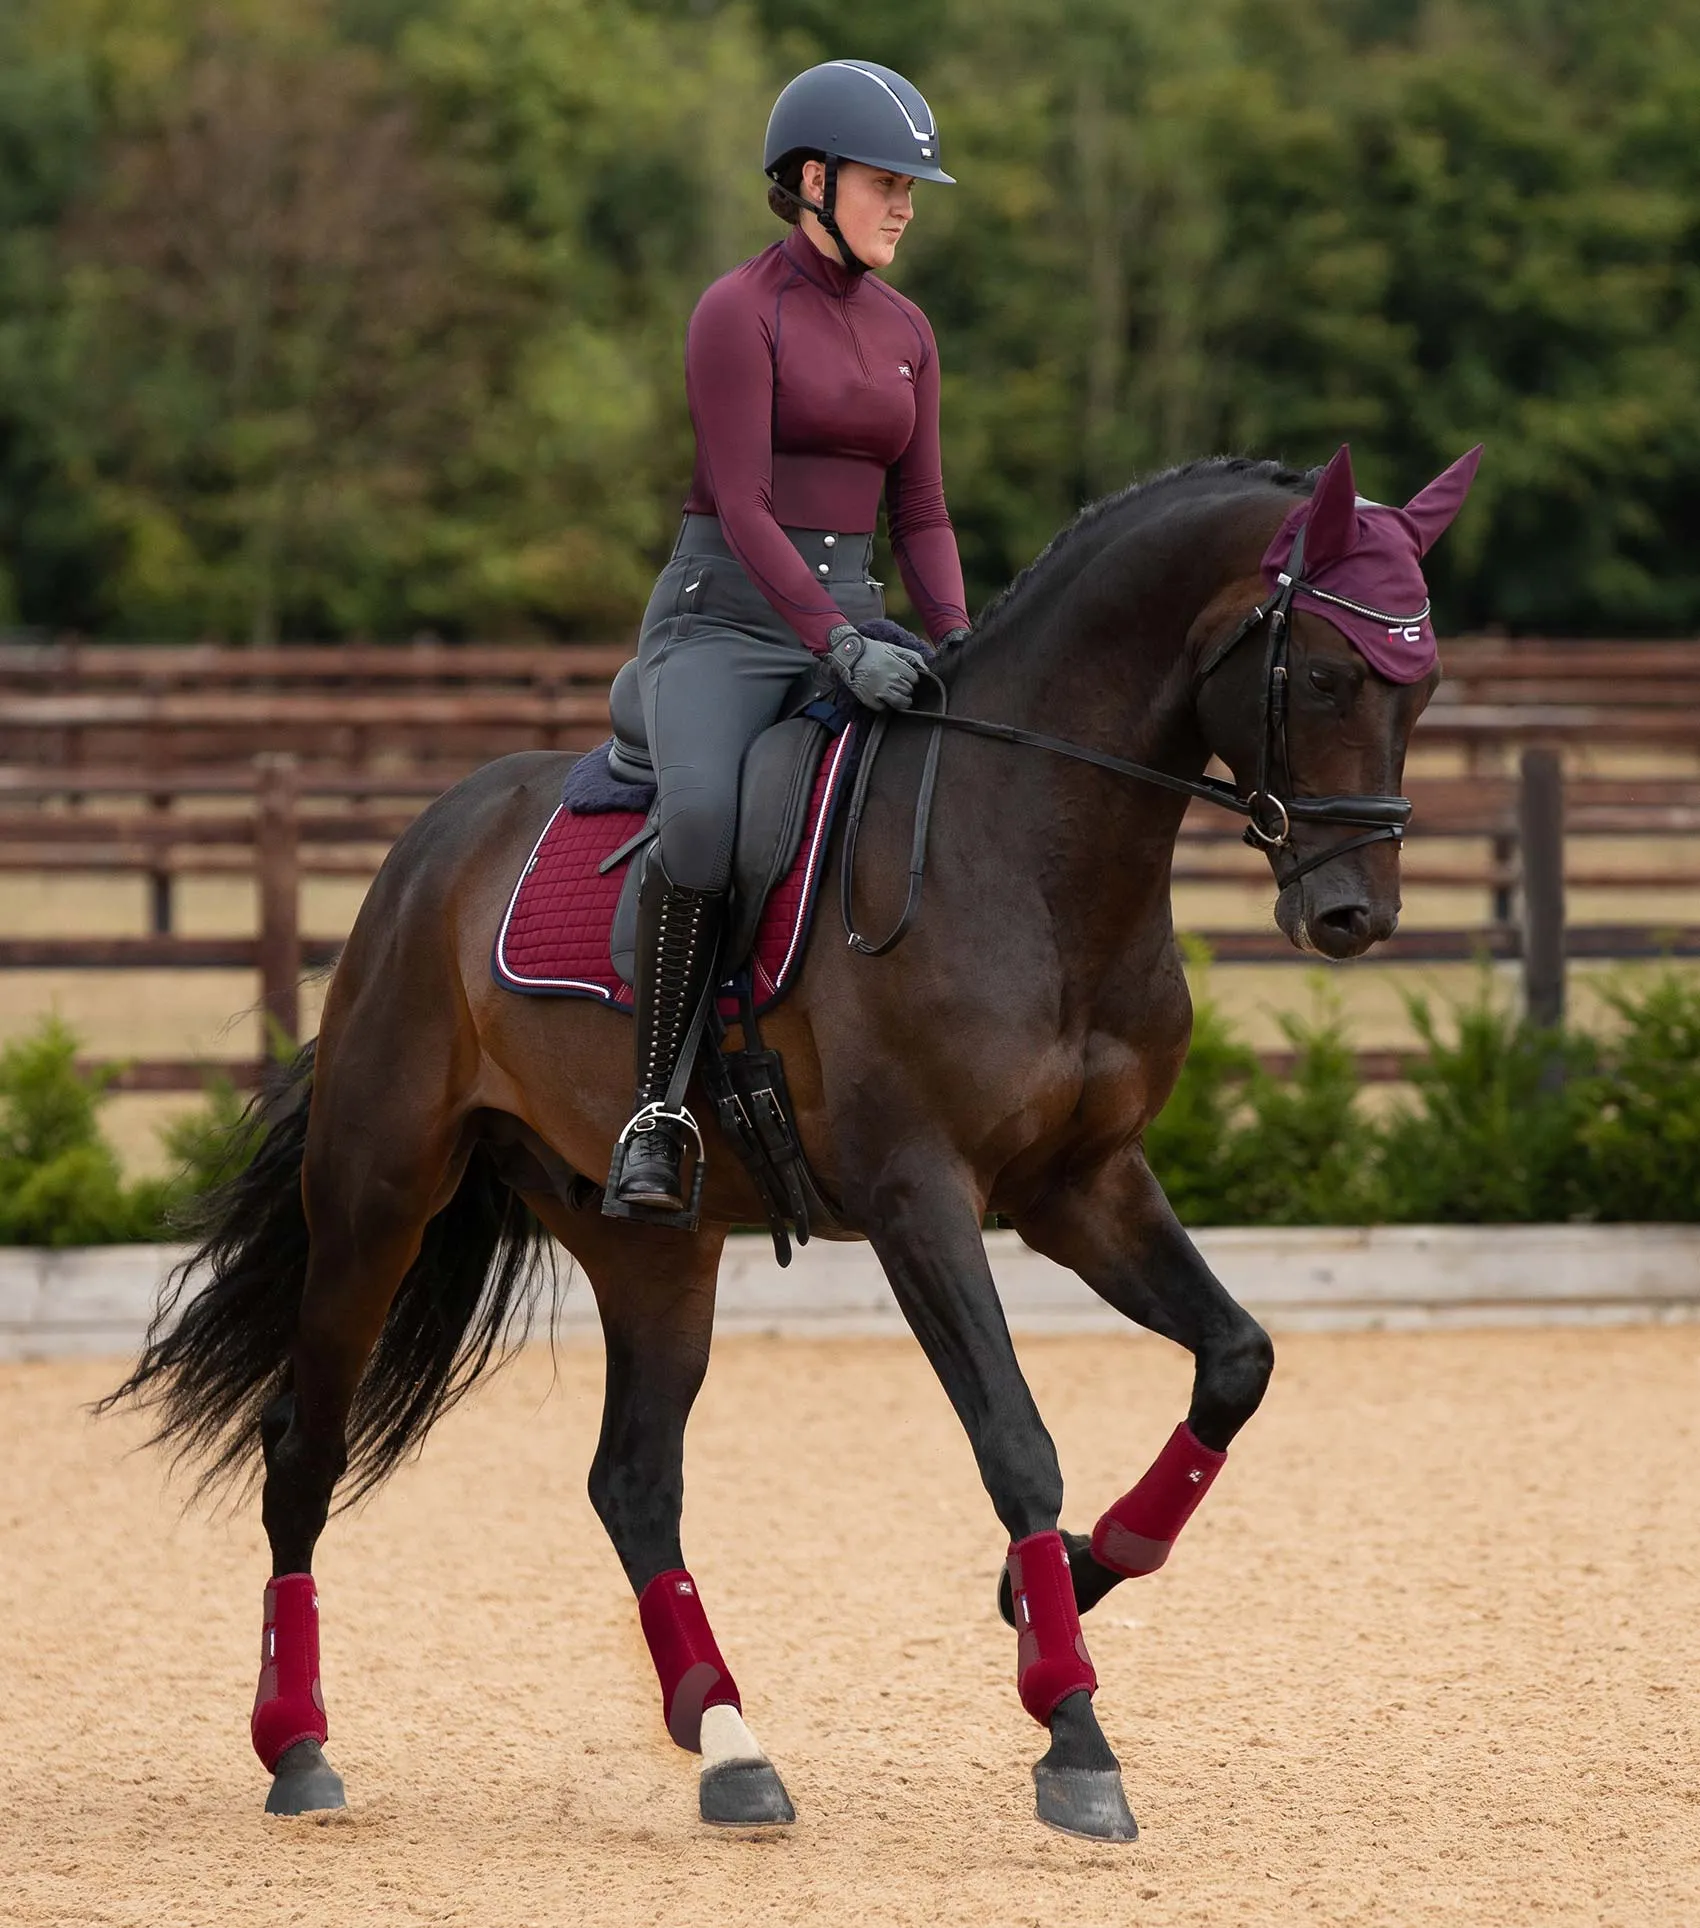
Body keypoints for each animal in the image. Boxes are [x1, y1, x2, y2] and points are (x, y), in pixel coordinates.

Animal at [112, 437, 1480, 1835]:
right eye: (1324, 674)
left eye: (1421, 688)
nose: (1352, 914)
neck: (1032, 840)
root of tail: (430, 841)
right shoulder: (916, 1193)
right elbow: (1015, 1440)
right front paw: (1071, 1727)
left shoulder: (1080, 1184)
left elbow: (1234, 1360)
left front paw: (1078, 1570)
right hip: (378, 1192)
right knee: (305, 1442)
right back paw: (296, 1744)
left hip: (651, 1245)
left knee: (632, 1479)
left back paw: (726, 1741)